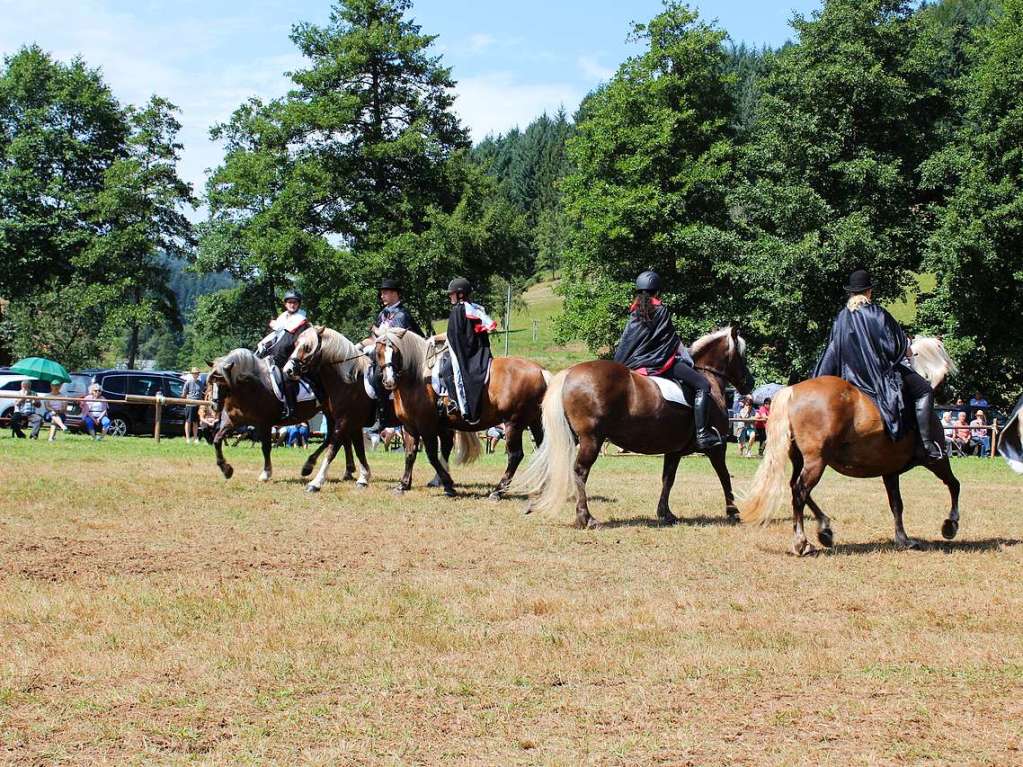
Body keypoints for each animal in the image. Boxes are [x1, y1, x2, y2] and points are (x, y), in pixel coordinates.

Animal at [201, 347, 358, 486]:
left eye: (223, 382)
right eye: (211, 382)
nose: (214, 405)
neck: (251, 388)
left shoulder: (264, 424)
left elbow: (265, 447)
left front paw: (266, 473)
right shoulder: (233, 422)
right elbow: (217, 440)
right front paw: (226, 470)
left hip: (333, 413)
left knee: (336, 437)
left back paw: (312, 466)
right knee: (339, 437)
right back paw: (342, 470)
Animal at [282, 325, 378, 492]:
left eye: (307, 347)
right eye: (295, 345)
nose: (288, 370)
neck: (350, 383)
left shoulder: (345, 422)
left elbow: (332, 449)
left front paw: (316, 482)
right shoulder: (351, 424)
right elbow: (358, 449)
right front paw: (363, 477)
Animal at [376, 329, 552, 499]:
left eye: (395, 352)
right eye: (378, 352)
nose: (389, 381)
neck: (418, 379)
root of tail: (540, 370)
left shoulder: (426, 426)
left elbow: (432, 455)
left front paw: (448, 485)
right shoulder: (412, 426)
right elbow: (411, 454)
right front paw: (404, 485)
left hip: (513, 424)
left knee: (515, 455)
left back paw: (498, 491)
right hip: (534, 422)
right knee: (542, 450)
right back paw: (543, 487)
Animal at [515, 325, 757, 527]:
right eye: (741, 355)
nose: (750, 383)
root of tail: (569, 373)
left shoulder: (674, 451)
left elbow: (668, 479)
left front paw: (665, 514)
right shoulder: (717, 448)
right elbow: (725, 476)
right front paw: (733, 512)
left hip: (570, 437)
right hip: (591, 439)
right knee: (580, 471)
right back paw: (586, 517)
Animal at [740, 339, 961, 556]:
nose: (952, 398)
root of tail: (792, 391)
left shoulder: (890, 471)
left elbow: (896, 504)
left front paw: (903, 539)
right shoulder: (938, 461)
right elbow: (954, 484)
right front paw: (950, 525)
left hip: (801, 460)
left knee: (797, 487)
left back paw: (824, 529)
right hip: (816, 461)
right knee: (800, 491)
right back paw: (802, 542)